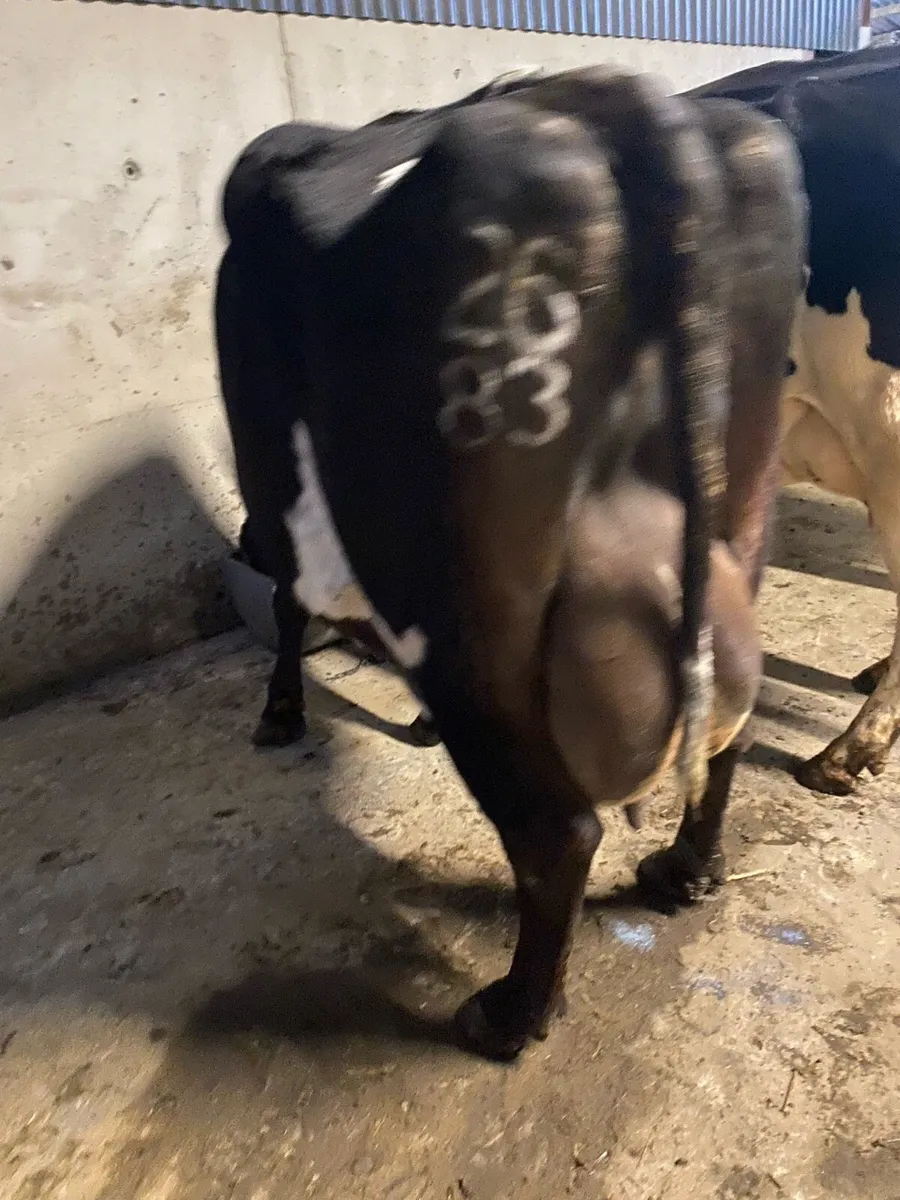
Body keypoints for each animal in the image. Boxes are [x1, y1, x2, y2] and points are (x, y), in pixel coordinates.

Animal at [215, 68, 804, 1060]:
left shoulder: (282, 503)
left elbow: (290, 606)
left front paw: (281, 713)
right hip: (739, 508)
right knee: (731, 728)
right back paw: (684, 873)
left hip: (463, 606)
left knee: (554, 831)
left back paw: (509, 1015)